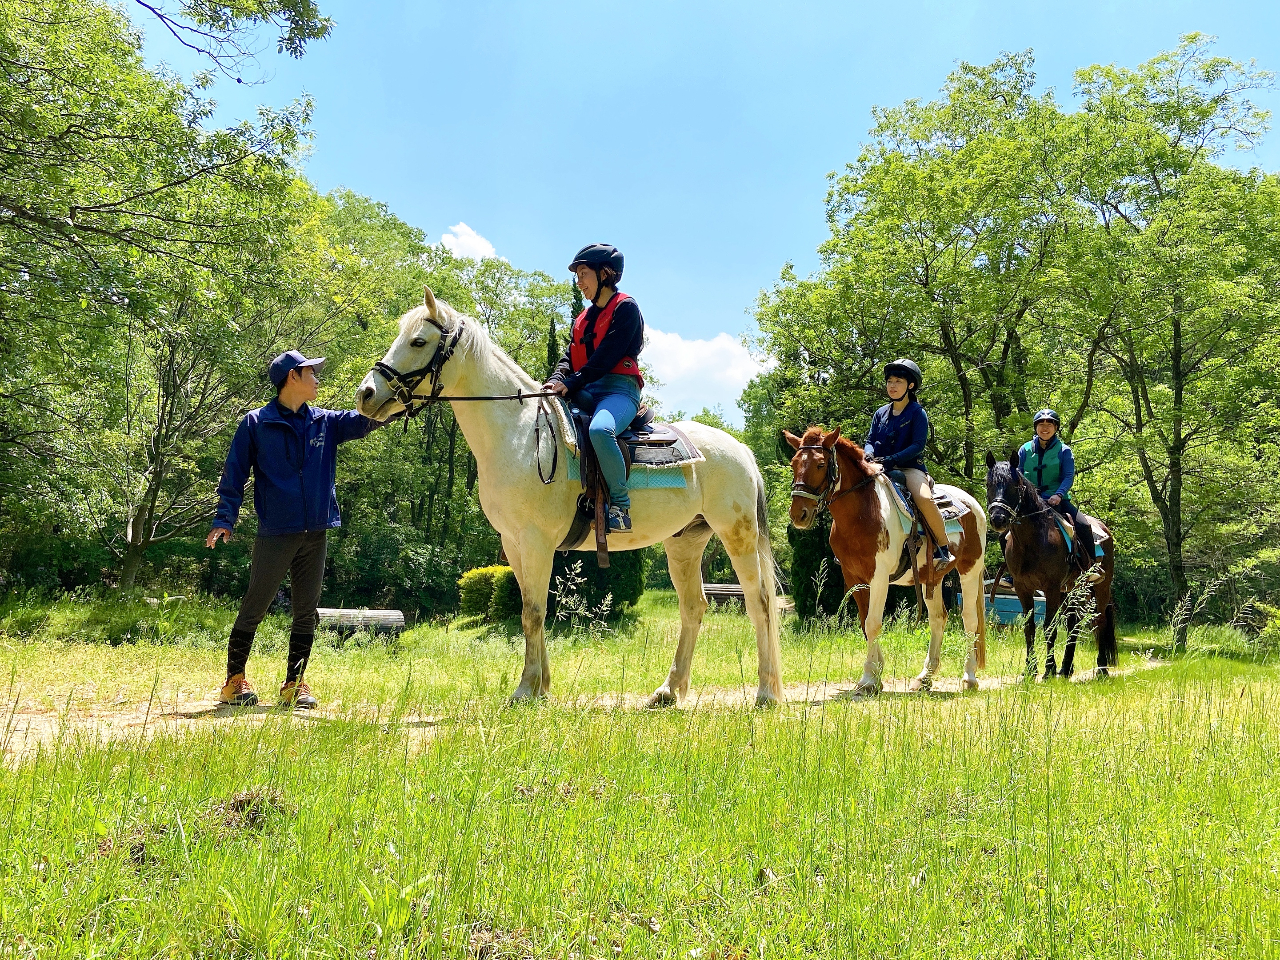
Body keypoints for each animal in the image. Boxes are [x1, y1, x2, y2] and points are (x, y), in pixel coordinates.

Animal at [355, 289, 782, 707]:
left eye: (418, 341)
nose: (366, 394)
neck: (520, 434)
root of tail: (741, 449)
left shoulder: (536, 541)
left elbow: (532, 612)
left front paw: (525, 689)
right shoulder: (514, 543)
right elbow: (533, 608)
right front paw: (541, 686)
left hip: (737, 536)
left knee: (760, 603)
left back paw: (766, 692)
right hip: (685, 544)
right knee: (694, 607)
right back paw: (668, 690)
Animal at [784, 426, 988, 694]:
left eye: (820, 464)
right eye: (794, 463)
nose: (799, 514)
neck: (863, 511)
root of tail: (972, 502)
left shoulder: (879, 577)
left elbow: (873, 623)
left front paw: (869, 679)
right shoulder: (854, 578)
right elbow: (865, 623)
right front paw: (875, 674)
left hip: (970, 571)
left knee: (969, 619)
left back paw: (969, 677)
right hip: (931, 578)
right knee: (938, 619)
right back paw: (925, 678)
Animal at [984, 450, 1118, 679]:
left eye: (1014, 485)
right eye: (989, 484)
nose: (998, 519)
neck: (1032, 541)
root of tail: (1104, 529)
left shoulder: (1051, 588)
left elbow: (1049, 627)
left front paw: (1048, 668)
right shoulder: (1023, 588)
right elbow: (1029, 627)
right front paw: (1030, 669)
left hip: (1099, 588)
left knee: (1099, 622)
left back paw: (1101, 668)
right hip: (1071, 591)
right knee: (1073, 624)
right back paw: (1066, 667)